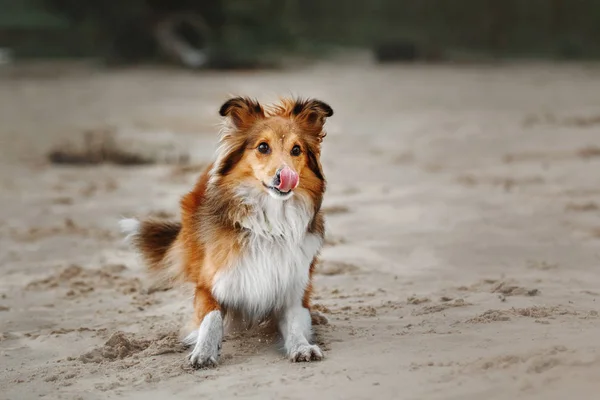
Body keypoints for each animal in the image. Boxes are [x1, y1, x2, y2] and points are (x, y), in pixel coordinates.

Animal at [120, 95, 332, 368]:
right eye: (263, 147)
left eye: (296, 150)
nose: (285, 176)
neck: (269, 224)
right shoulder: (209, 286)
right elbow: (211, 319)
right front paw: (203, 350)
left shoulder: (293, 289)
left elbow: (295, 323)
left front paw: (302, 346)